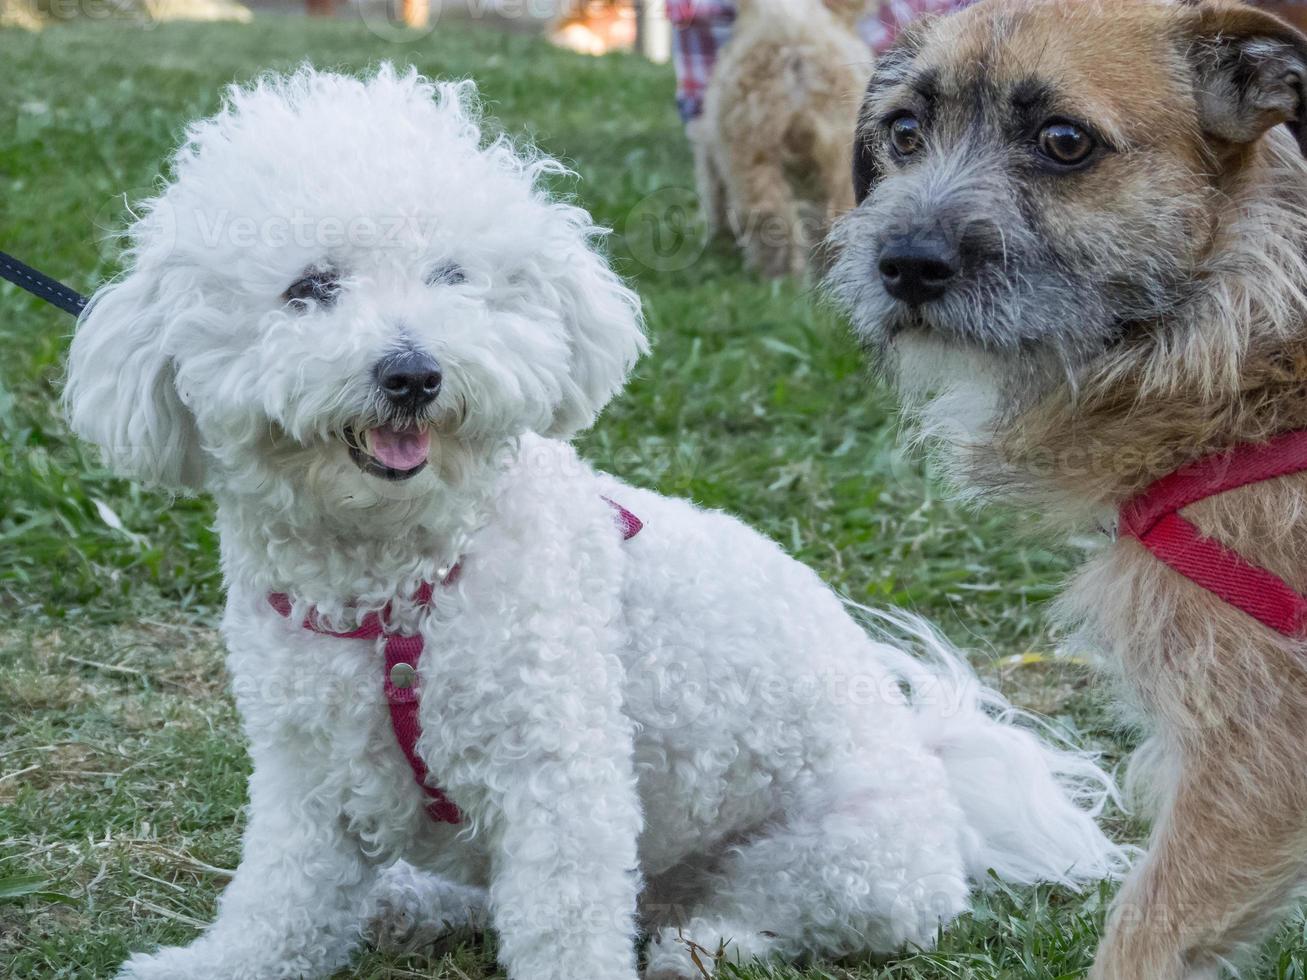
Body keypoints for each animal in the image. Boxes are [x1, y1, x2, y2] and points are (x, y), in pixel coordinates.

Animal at [63, 69, 1124, 980]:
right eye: (308, 288)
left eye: (454, 278)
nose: (413, 373)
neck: (401, 592)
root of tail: (941, 775)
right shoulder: (305, 776)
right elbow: (279, 902)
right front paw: (218, 966)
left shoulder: (559, 777)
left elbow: (562, 921)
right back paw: (412, 902)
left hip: (848, 857)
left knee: (781, 910)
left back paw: (713, 944)